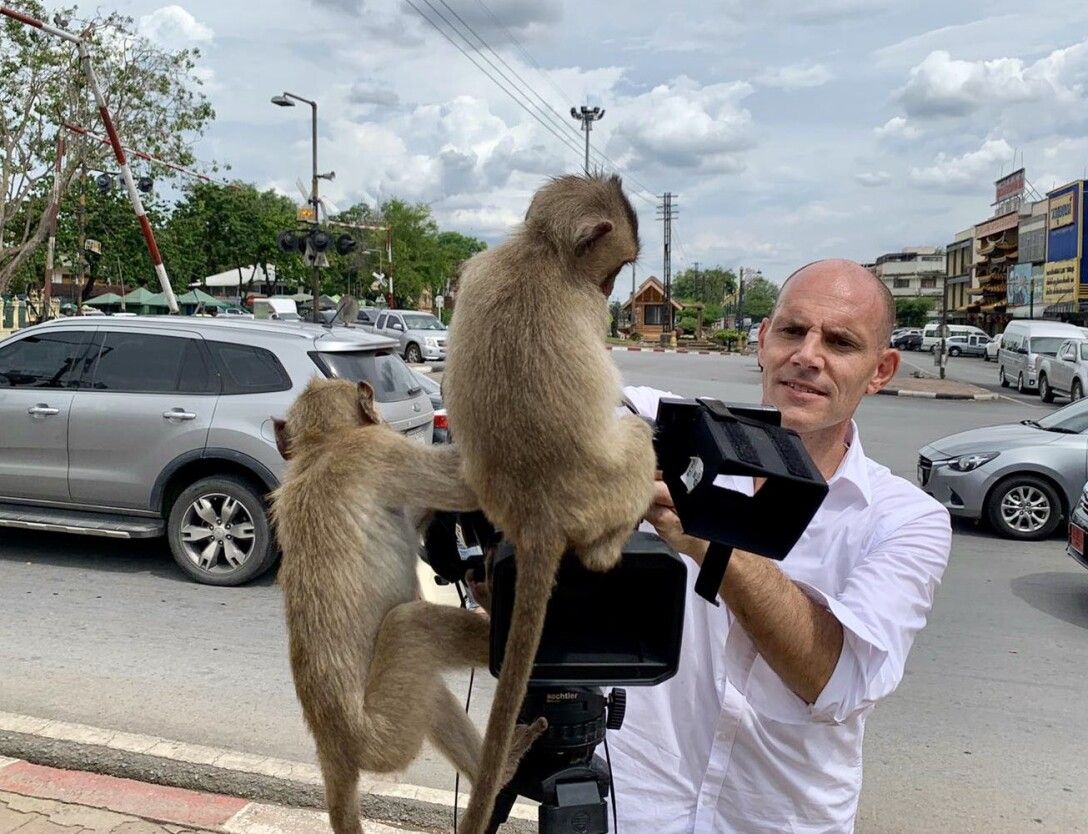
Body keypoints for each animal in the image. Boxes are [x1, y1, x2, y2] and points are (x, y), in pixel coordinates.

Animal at [268, 380, 548, 834]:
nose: (383, 415)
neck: (324, 445)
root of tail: (332, 745)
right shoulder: (380, 451)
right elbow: (466, 482)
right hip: (385, 734)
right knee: (411, 625)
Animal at [439, 172, 652, 830]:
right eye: (615, 270)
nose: (610, 292)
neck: (544, 252)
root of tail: (539, 515)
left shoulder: (476, 269)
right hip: (609, 489)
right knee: (638, 441)